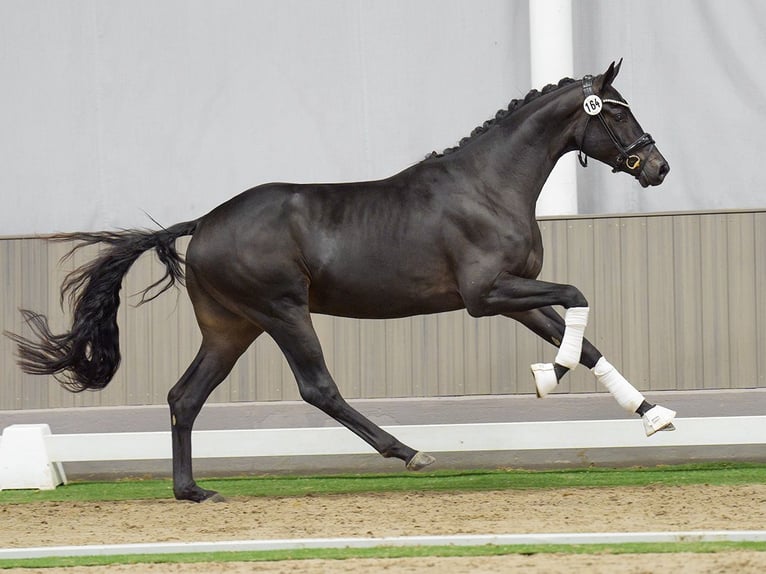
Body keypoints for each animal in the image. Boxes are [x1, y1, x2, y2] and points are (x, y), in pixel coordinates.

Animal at [9, 62, 676, 504]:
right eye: (617, 110)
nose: (658, 167)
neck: (488, 186)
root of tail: (204, 223)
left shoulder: (514, 296)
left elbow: (585, 342)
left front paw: (654, 416)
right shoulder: (486, 296)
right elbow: (577, 302)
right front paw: (546, 378)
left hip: (232, 327)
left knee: (184, 396)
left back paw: (193, 491)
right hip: (282, 312)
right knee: (317, 388)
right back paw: (410, 453)